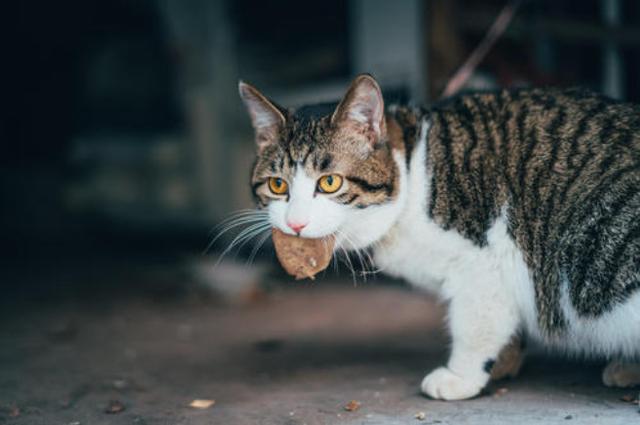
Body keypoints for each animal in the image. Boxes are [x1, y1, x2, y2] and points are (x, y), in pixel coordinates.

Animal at [239, 74, 640, 400]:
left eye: (329, 182)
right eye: (277, 185)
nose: (295, 224)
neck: (413, 175)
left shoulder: (484, 261)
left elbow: (474, 322)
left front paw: (461, 376)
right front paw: (505, 361)